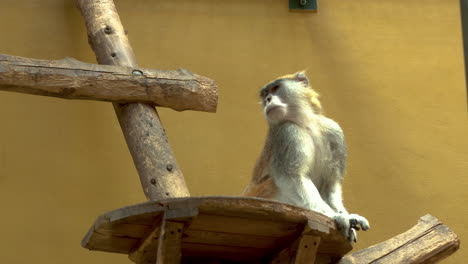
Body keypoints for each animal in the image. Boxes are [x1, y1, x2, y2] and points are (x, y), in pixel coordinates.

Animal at [245, 71, 370, 242]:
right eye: (264, 94)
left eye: (275, 88)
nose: (267, 100)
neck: (306, 124)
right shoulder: (288, 132)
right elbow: (293, 178)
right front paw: (336, 217)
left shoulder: (334, 132)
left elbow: (329, 185)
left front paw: (345, 214)